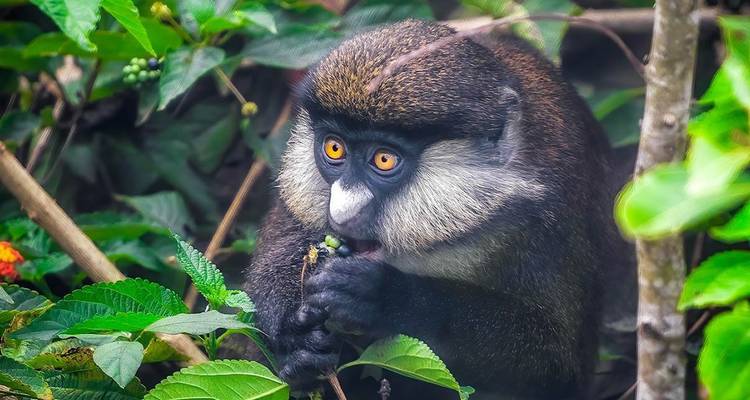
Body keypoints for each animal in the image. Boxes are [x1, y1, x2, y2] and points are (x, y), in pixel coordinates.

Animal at [243, 19, 632, 400]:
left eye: (384, 159)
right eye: (334, 148)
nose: (342, 212)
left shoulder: (552, 219)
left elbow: (557, 364)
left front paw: (388, 298)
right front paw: (293, 331)